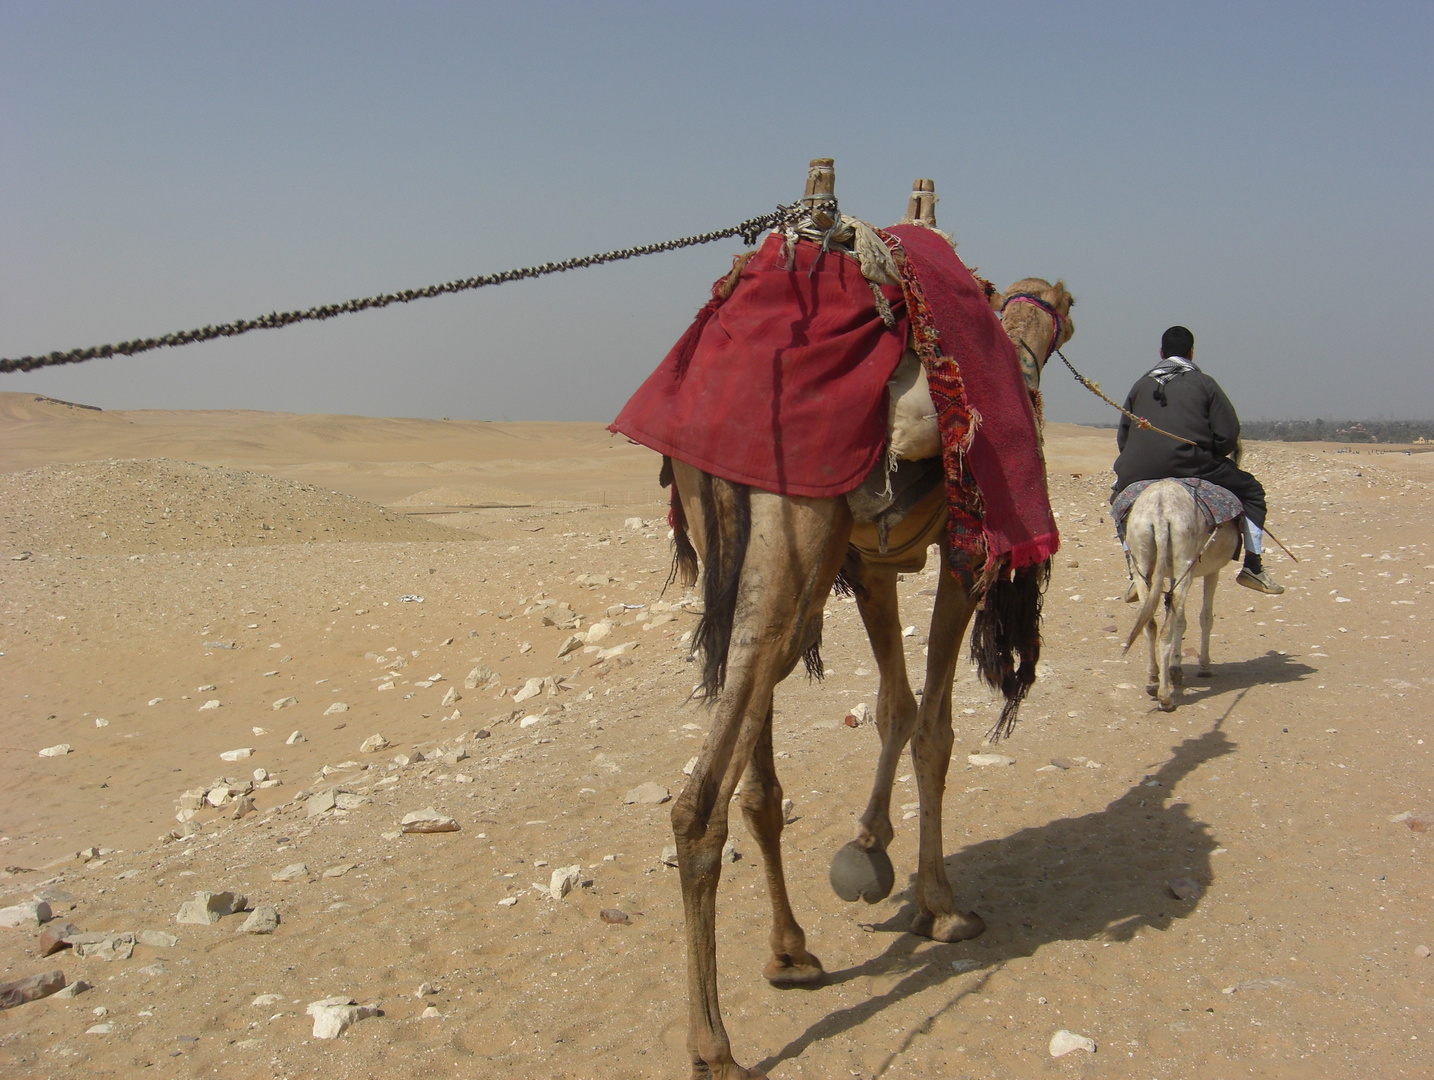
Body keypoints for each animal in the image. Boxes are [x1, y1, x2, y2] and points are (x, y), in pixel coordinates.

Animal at [659, 263, 1066, 1078]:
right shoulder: (968, 554)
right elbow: (933, 728)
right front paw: (940, 904)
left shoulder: (874, 565)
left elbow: (894, 707)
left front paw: (872, 847)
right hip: (795, 537)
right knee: (700, 805)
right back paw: (715, 1047)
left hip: (758, 568)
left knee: (758, 777)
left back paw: (790, 954)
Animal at [1118, 479, 1244, 708]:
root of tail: (1160, 510)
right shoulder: (1212, 571)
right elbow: (1205, 617)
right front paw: (1204, 666)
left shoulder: (1171, 575)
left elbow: (1181, 620)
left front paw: (1175, 669)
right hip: (1186, 565)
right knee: (1165, 630)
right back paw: (1165, 697)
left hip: (1142, 564)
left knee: (1149, 623)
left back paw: (1153, 680)